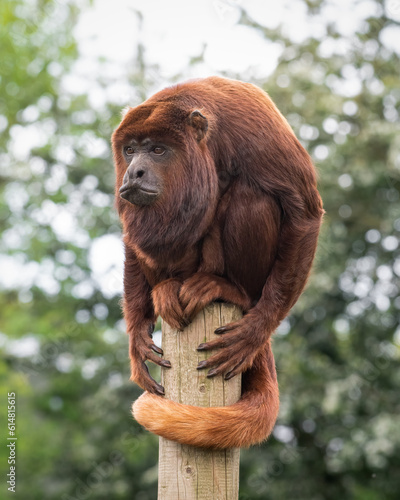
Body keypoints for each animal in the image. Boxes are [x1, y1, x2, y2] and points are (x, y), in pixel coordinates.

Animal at [111, 77, 324, 450]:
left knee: (250, 196)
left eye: (157, 150)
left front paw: (254, 332)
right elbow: (130, 234)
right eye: (130, 150)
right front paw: (137, 337)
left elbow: (304, 213)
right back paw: (167, 288)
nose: (134, 172)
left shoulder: (254, 129)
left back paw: (228, 289)